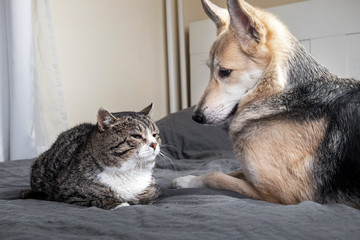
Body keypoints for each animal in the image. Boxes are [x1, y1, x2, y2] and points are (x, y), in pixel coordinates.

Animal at [20, 104, 160, 209]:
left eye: (155, 135)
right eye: (136, 136)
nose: (154, 144)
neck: (130, 172)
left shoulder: (150, 190)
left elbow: (146, 197)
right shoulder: (70, 193)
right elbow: (98, 199)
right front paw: (120, 204)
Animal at [172, 0, 360, 208]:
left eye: (225, 72)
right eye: (209, 70)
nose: (196, 117)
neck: (281, 95)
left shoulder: (282, 194)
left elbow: (216, 175)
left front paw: (188, 181)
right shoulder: (251, 175)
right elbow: (231, 172)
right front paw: (188, 179)